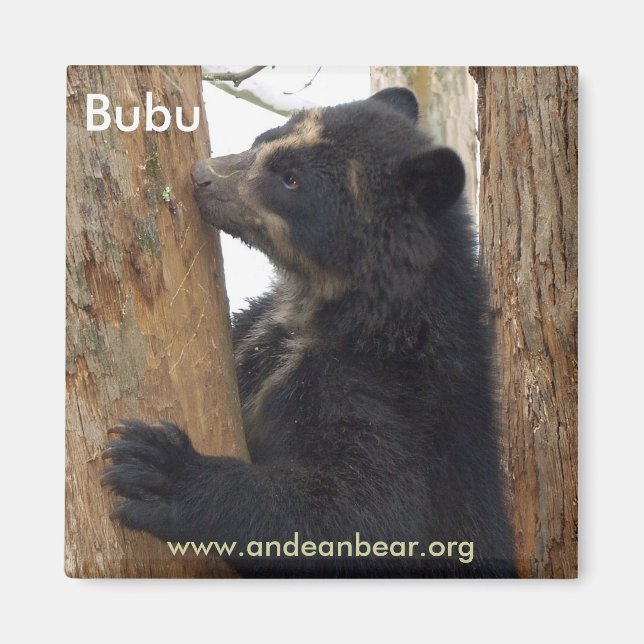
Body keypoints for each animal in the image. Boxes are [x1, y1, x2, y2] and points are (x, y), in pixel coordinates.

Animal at [102, 87, 517, 578]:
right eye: (266, 137)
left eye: (291, 180)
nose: (203, 176)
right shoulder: (264, 330)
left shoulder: (396, 398)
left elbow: (369, 513)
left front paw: (159, 469)